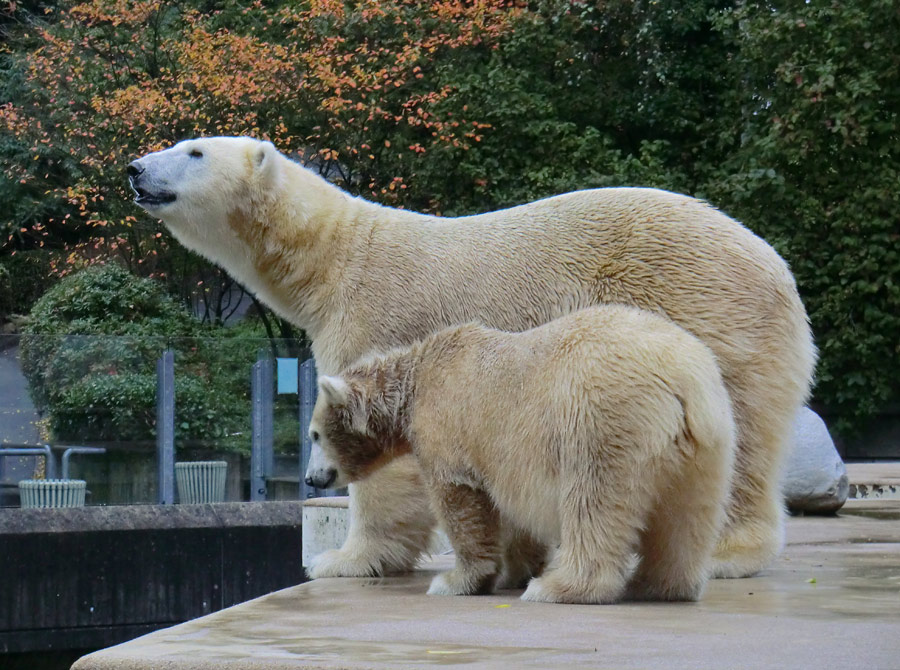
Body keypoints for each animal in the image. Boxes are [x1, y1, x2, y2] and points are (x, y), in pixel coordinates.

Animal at [128, 135, 816, 576]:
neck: (332, 258)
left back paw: (727, 553)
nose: (135, 168)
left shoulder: (377, 314)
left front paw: (344, 559)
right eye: (178, 142)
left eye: (194, 151)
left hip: (709, 306)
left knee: (743, 433)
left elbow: (381, 452)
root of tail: (777, 266)